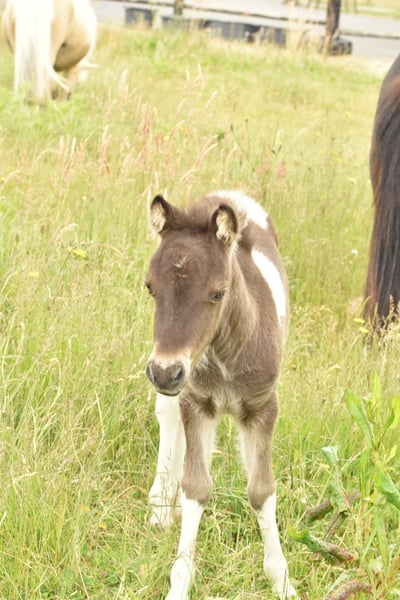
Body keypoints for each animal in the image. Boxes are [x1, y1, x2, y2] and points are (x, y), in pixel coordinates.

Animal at [145, 190, 296, 599]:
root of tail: (226, 195)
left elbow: (262, 490)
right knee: (168, 416)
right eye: (150, 287)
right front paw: (179, 583)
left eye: (218, 293)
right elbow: (196, 486)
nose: (164, 371)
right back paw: (161, 503)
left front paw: (281, 580)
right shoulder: (197, 401)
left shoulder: (263, 406)